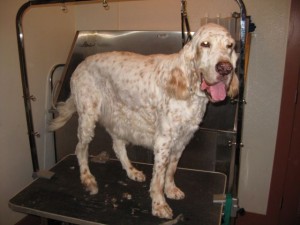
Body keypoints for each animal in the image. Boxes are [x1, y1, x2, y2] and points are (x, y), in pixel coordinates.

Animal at [50, 23, 240, 219]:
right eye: (205, 44)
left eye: (230, 46)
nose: (225, 69)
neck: (188, 87)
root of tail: (81, 64)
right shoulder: (163, 142)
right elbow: (158, 178)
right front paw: (159, 205)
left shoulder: (182, 140)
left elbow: (171, 171)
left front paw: (171, 190)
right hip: (88, 118)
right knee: (80, 149)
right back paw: (87, 178)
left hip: (118, 118)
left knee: (118, 146)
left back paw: (131, 171)